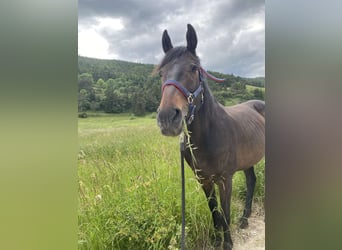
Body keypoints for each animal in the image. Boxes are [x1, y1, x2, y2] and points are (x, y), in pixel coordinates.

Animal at [155, 23, 264, 250]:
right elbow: (215, 212)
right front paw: (216, 240)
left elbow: (225, 212)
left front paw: (227, 243)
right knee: (251, 180)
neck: (209, 136)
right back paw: (245, 218)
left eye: (194, 68)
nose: (167, 118)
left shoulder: (225, 179)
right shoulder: (204, 180)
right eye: (161, 72)